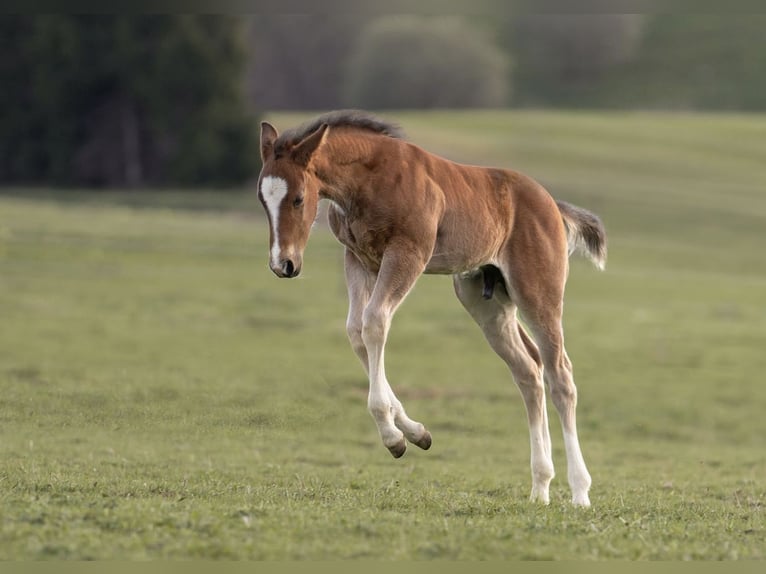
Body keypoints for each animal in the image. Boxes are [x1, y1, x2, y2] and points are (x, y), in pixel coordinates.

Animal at [256, 110, 606, 507]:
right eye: (262, 199)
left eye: (299, 198)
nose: (283, 264)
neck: (368, 179)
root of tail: (553, 206)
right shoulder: (359, 260)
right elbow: (356, 331)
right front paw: (415, 433)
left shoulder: (407, 254)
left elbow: (374, 323)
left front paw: (393, 437)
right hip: (486, 302)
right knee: (529, 371)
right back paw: (540, 487)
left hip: (538, 291)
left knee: (560, 375)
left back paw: (579, 492)